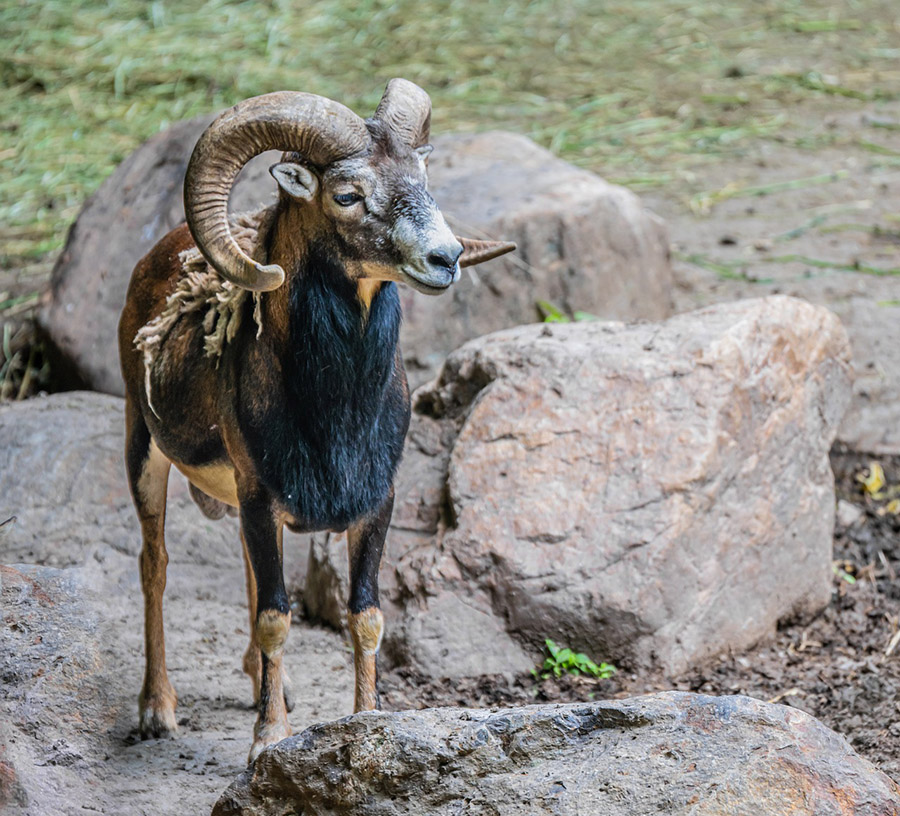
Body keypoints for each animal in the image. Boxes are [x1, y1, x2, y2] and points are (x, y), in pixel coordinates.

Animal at [117, 78, 514, 763]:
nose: (445, 258)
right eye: (347, 194)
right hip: (145, 454)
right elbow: (276, 618)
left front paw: (365, 724)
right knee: (155, 565)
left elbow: (365, 617)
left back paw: (261, 685)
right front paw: (267, 742)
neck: (334, 415)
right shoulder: (260, 498)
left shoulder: (372, 505)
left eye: (423, 176)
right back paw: (156, 710)